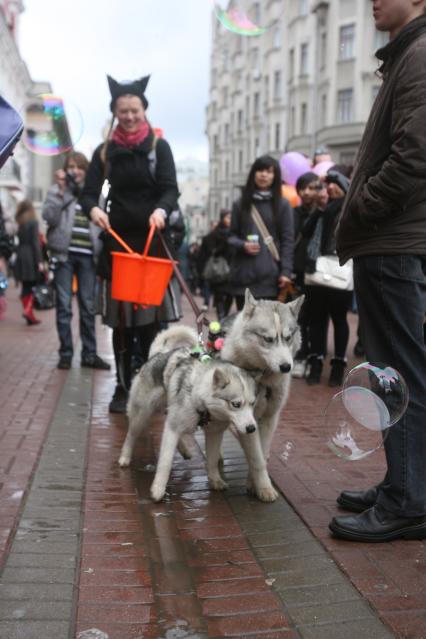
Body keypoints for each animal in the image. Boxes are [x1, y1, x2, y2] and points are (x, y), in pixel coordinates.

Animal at [116, 338, 260, 502]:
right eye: (236, 404)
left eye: (252, 403)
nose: (251, 428)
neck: (200, 397)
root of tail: (158, 354)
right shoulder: (174, 427)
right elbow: (165, 461)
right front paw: (158, 489)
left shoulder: (214, 433)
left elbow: (212, 460)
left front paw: (215, 480)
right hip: (142, 415)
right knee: (131, 435)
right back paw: (125, 457)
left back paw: (184, 449)